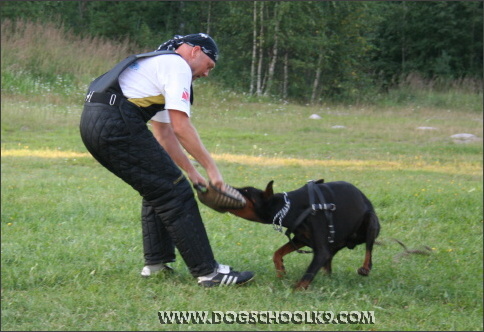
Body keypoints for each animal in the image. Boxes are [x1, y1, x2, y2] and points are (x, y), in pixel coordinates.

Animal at [228, 179, 382, 290]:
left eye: (246, 190)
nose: (227, 185)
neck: (290, 207)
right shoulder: (301, 238)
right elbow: (278, 253)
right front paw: (281, 270)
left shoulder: (321, 250)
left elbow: (308, 274)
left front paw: (295, 290)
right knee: (330, 261)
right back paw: (326, 276)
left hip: (371, 220)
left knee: (369, 249)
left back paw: (365, 268)